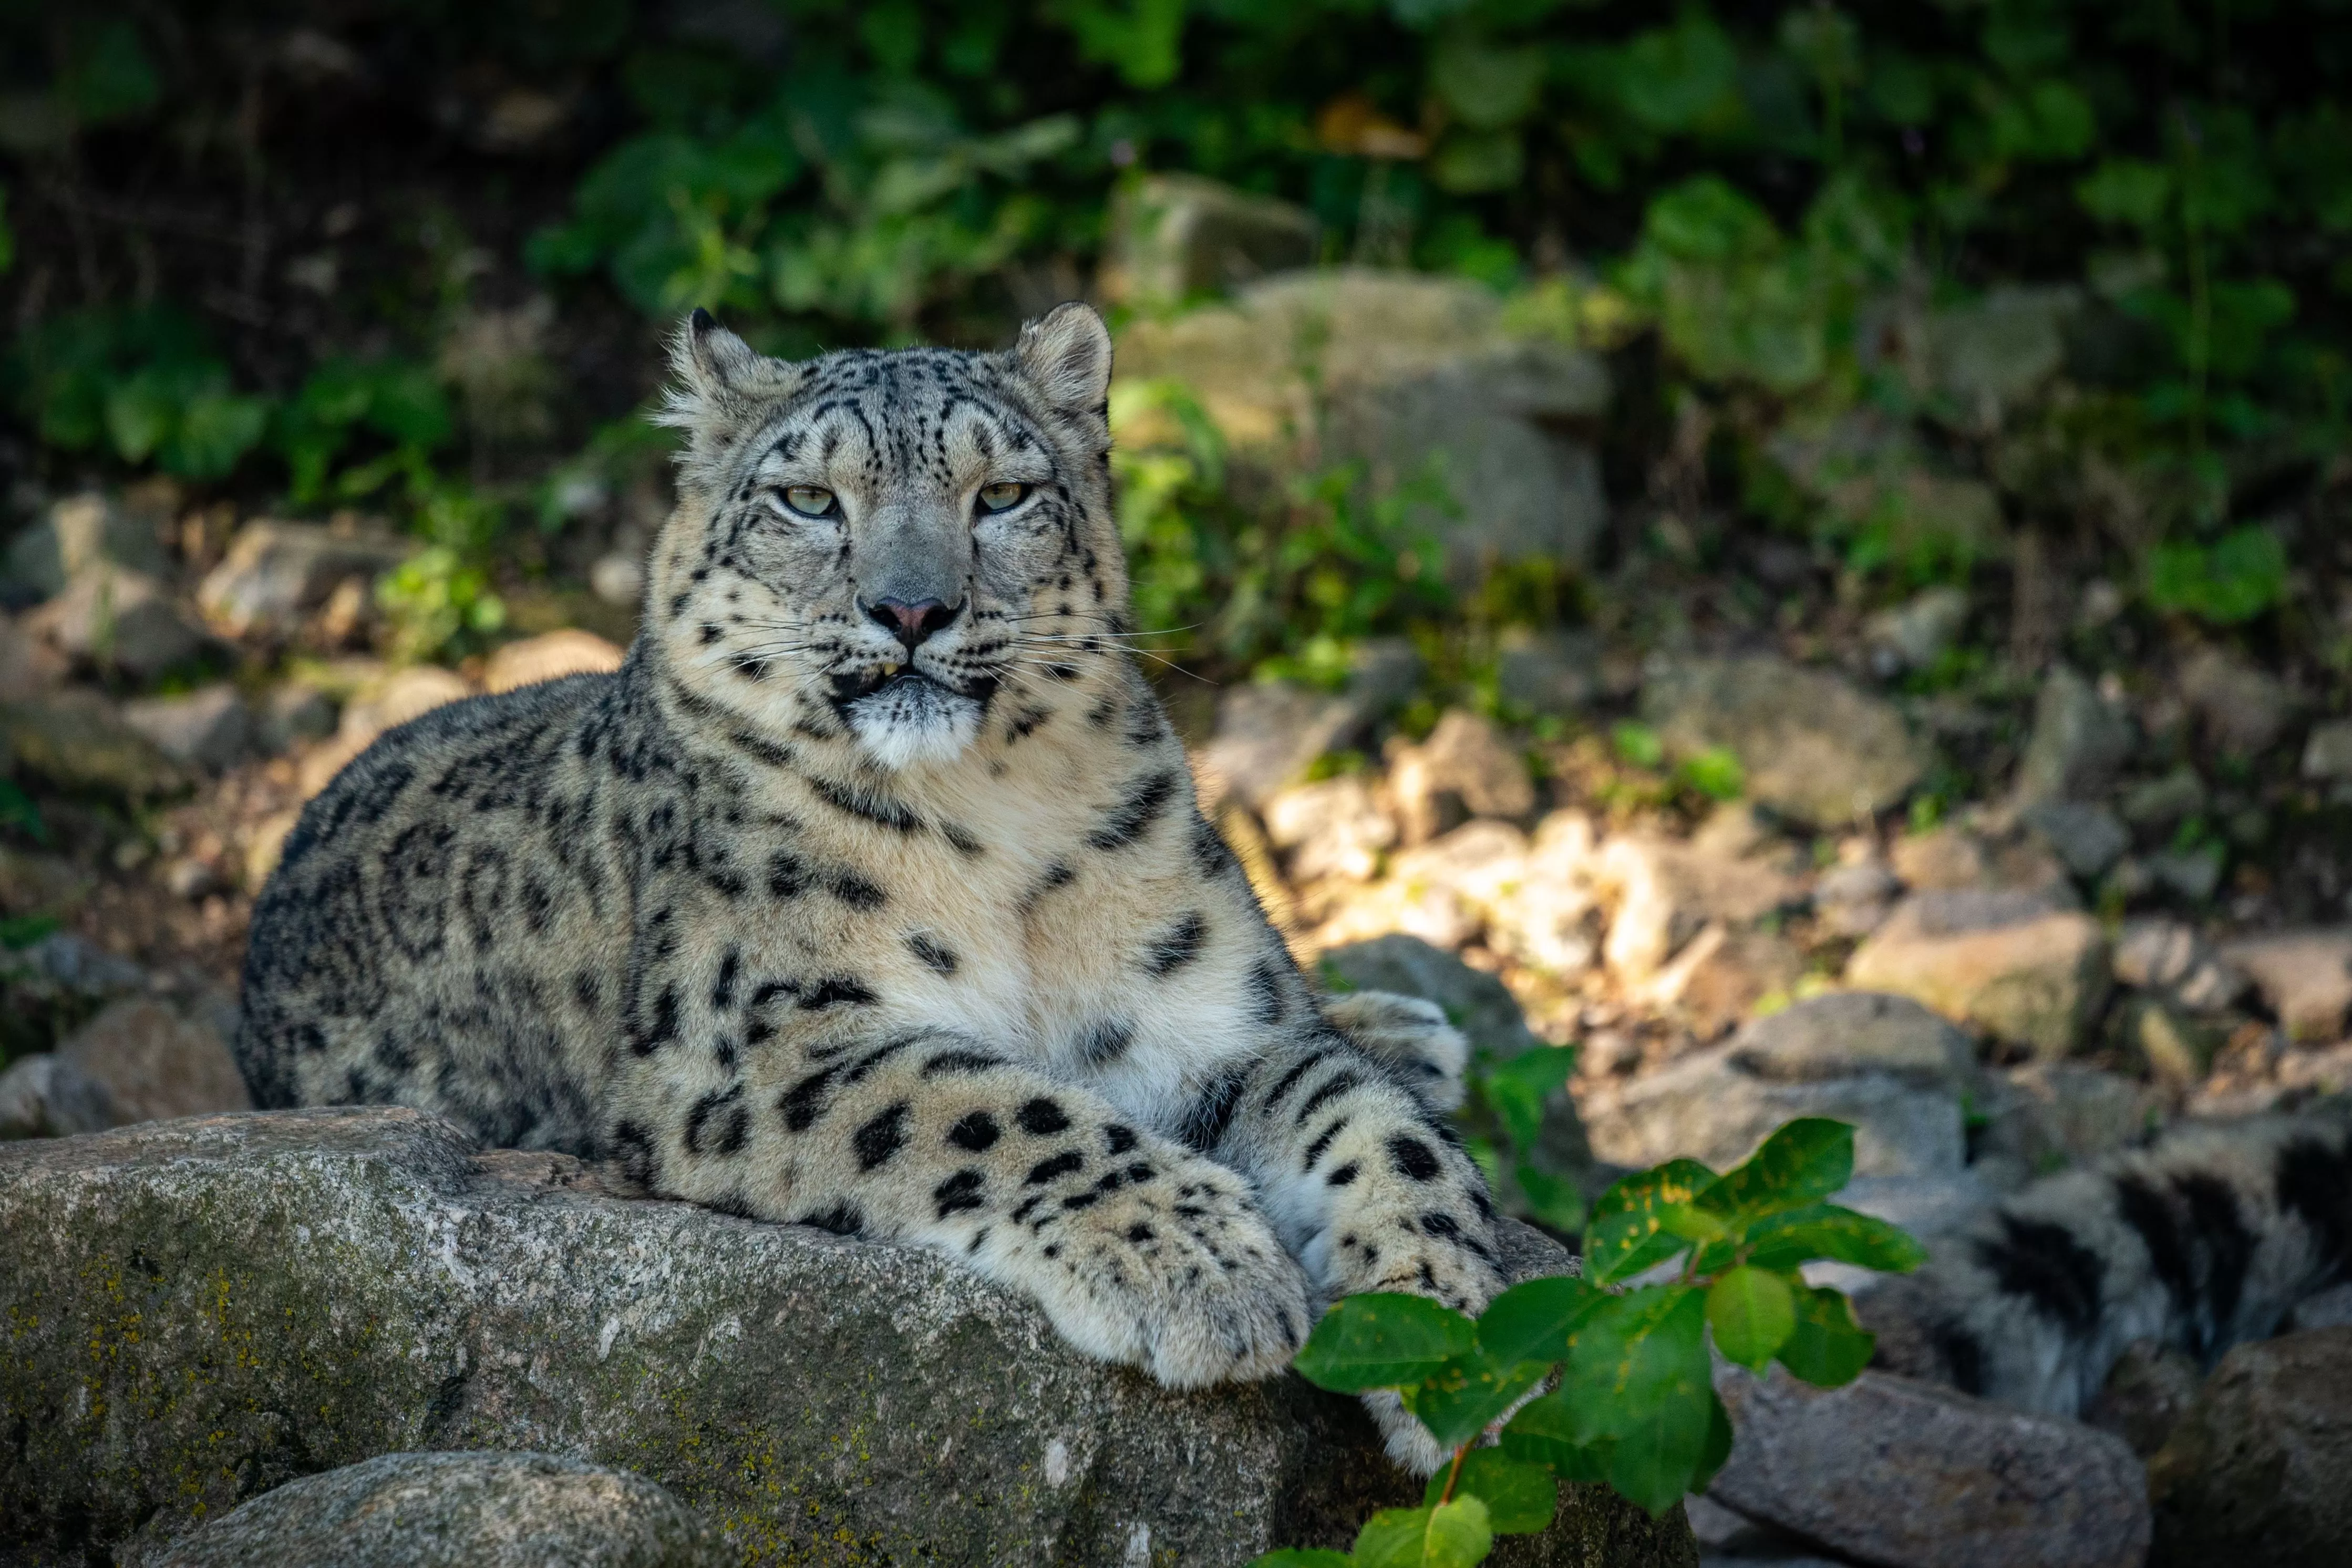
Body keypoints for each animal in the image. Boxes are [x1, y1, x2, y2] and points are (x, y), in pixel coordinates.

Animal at [239, 305, 1505, 1476]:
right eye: (808, 498)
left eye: (1002, 494)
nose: (910, 609)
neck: (996, 823)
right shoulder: (755, 1042)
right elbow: (994, 1105)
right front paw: (1207, 1268)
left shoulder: (1211, 1020)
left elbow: (1377, 1126)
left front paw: (1451, 1346)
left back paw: (1413, 1030)